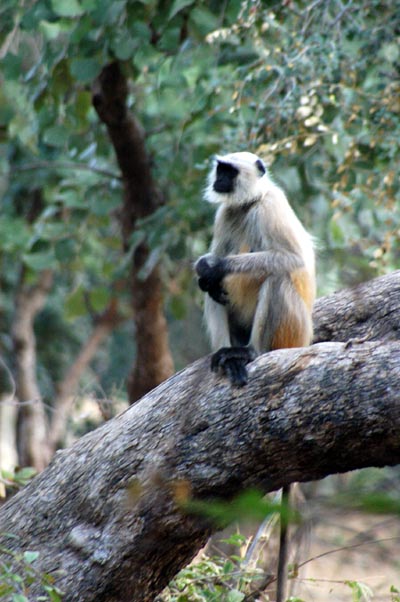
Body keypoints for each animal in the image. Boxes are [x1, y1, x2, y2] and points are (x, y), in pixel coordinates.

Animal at [195, 151, 316, 600]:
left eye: (228, 171)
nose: (218, 180)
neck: (248, 205)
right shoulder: (225, 215)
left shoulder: (271, 208)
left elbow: (292, 260)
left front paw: (215, 264)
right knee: (211, 290)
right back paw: (225, 354)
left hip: (292, 332)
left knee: (275, 275)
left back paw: (252, 353)